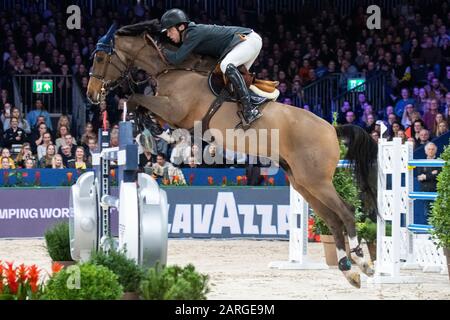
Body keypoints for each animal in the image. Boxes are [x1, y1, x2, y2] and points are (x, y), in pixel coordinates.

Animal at [86, 21, 378, 288]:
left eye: (100, 58)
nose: (91, 95)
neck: (171, 69)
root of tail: (331, 128)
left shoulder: (174, 108)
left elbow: (135, 99)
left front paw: (150, 133)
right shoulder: (171, 111)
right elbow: (143, 108)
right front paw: (154, 133)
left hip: (317, 181)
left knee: (346, 211)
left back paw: (363, 262)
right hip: (303, 183)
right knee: (332, 220)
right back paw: (348, 270)